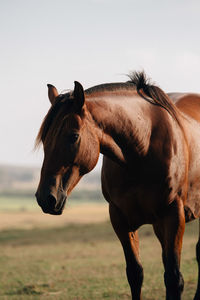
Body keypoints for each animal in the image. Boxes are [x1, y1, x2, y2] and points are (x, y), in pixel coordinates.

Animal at [35, 72, 200, 300]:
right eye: (44, 139)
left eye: (73, 136)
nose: (46, 198)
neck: (142, 149)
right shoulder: (120, 218)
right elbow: (135, 274)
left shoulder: (173, 215)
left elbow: (174, 279)